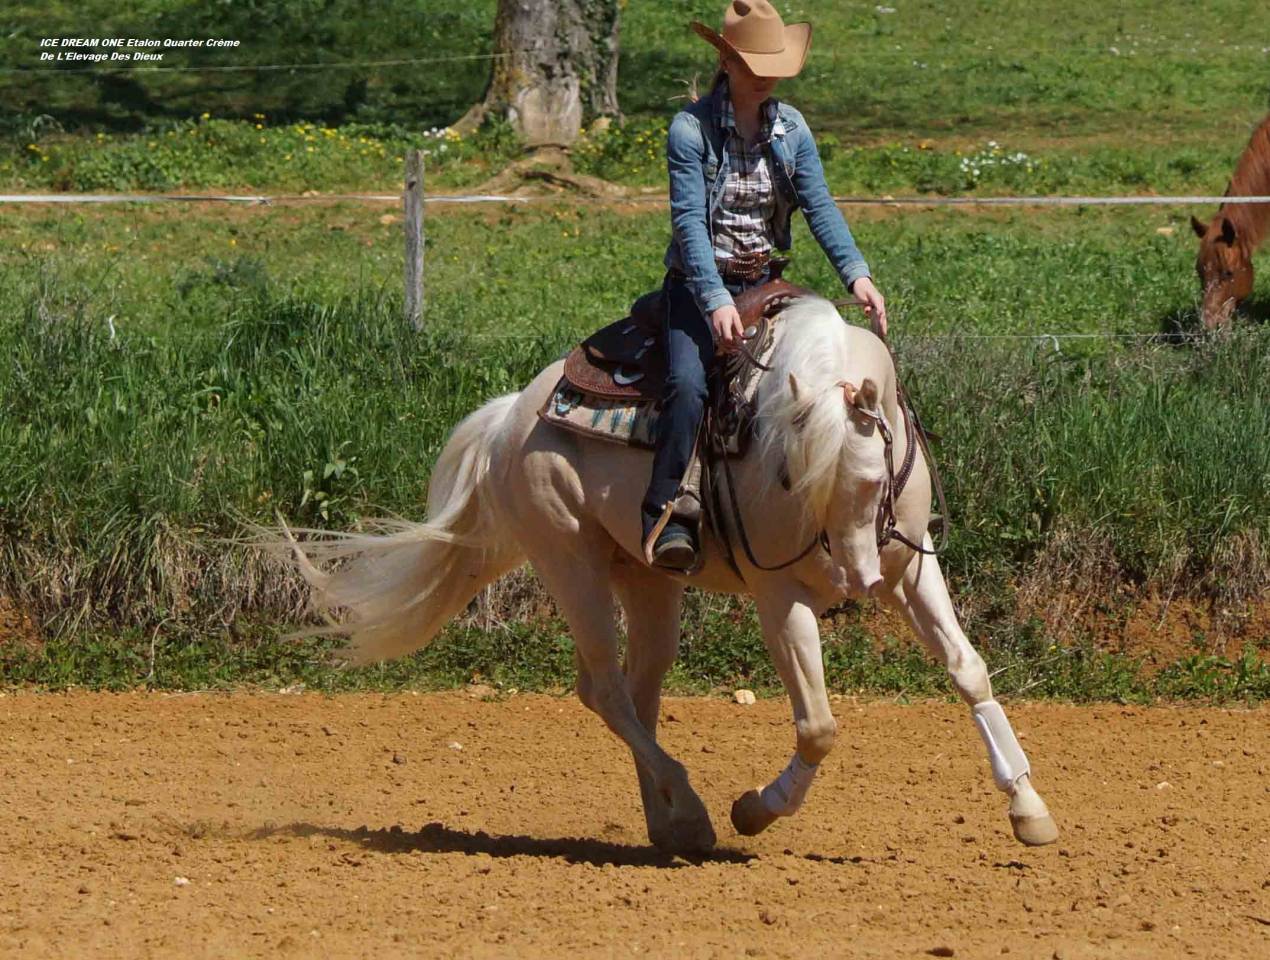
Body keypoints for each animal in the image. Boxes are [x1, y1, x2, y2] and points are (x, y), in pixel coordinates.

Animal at [266, 293, 1059, 854]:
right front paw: (755, 810)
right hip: (571, 563)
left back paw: (670, 827)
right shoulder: (779, 596)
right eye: (793, 476)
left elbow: (968, 671)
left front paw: (1029, 807)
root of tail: (513, 415)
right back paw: (695, 809)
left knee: (640, 694)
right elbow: (818, 726)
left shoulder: (910, 569)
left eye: (870, 480)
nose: (851, 585)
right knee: (607, 692)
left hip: (645, 578)